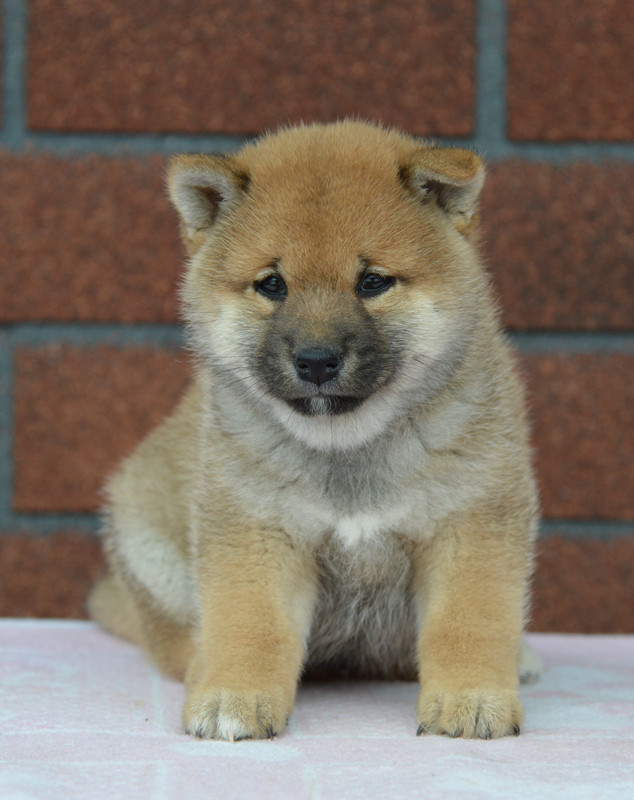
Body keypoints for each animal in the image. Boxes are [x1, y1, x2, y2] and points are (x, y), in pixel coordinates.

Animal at [89, 120, 536, 744]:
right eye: (272, 285)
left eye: (372, 282)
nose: (317, 359)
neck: (349, 449)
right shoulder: (256, 533)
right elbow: (250, 626)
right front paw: (234, 696)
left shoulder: (470, 523)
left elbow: (468, 624)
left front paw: (470, 698)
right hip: (148, 547)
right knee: (176, 641)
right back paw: (202, 666)